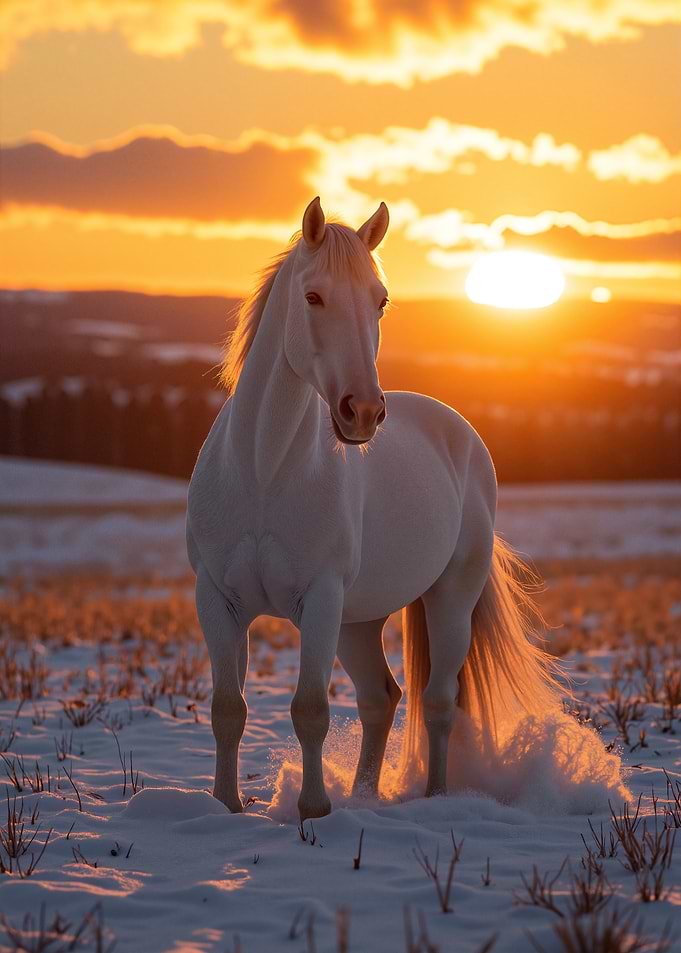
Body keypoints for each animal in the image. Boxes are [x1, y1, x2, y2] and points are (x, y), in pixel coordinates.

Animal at [187, 197, 560, 821]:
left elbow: (310, 709)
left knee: (439, 701)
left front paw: (314, 810)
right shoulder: (218, 599)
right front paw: (225, 805)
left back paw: (433, 796)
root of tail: (461, 434)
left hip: (447, 598)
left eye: (379, 300)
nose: (361, 411)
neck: (264, 472)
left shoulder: (320, 598)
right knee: (380, 698)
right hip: (357, 622)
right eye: (313, 296)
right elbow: (227, 709)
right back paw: (365, 796)